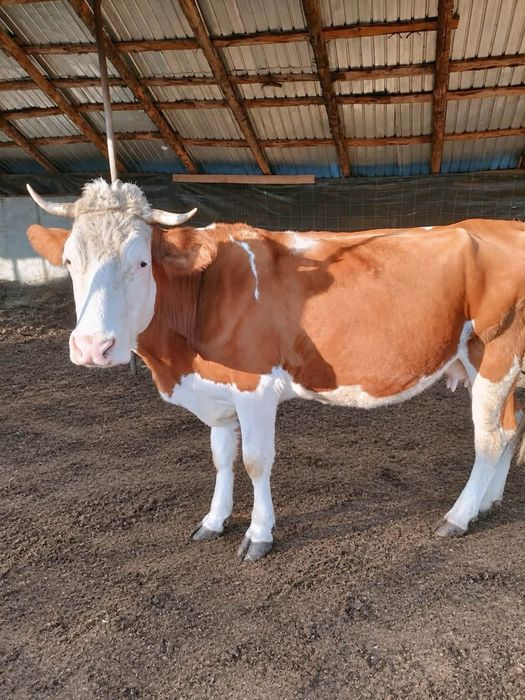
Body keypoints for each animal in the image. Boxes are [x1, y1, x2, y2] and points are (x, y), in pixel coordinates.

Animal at [26, 178, 525, 561]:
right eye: (69, 261)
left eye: (141, 261)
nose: (92, 347)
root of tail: (505, 224)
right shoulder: (218, 389)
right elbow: (221, 456)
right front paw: (214, 520)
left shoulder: (255, 386)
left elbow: (255, 460)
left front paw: (259, 534)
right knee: (512, 426)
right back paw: (488, 501)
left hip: (495, 355)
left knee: (490, 437)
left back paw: (459, 516)